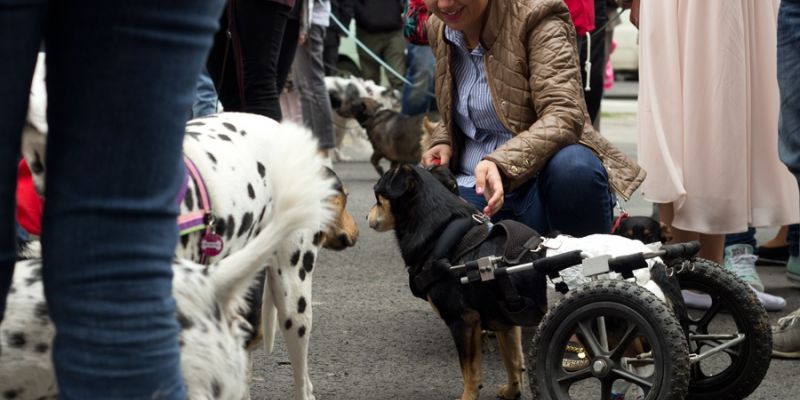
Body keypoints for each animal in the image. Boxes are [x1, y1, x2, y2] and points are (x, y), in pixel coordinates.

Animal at [368, 163, 544, 400]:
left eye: (378, 196)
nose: (366, 216)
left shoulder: (462, 320)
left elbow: (469, 370)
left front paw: (468, 396)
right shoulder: (505, 319)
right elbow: (513, 361)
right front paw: (512, 391)